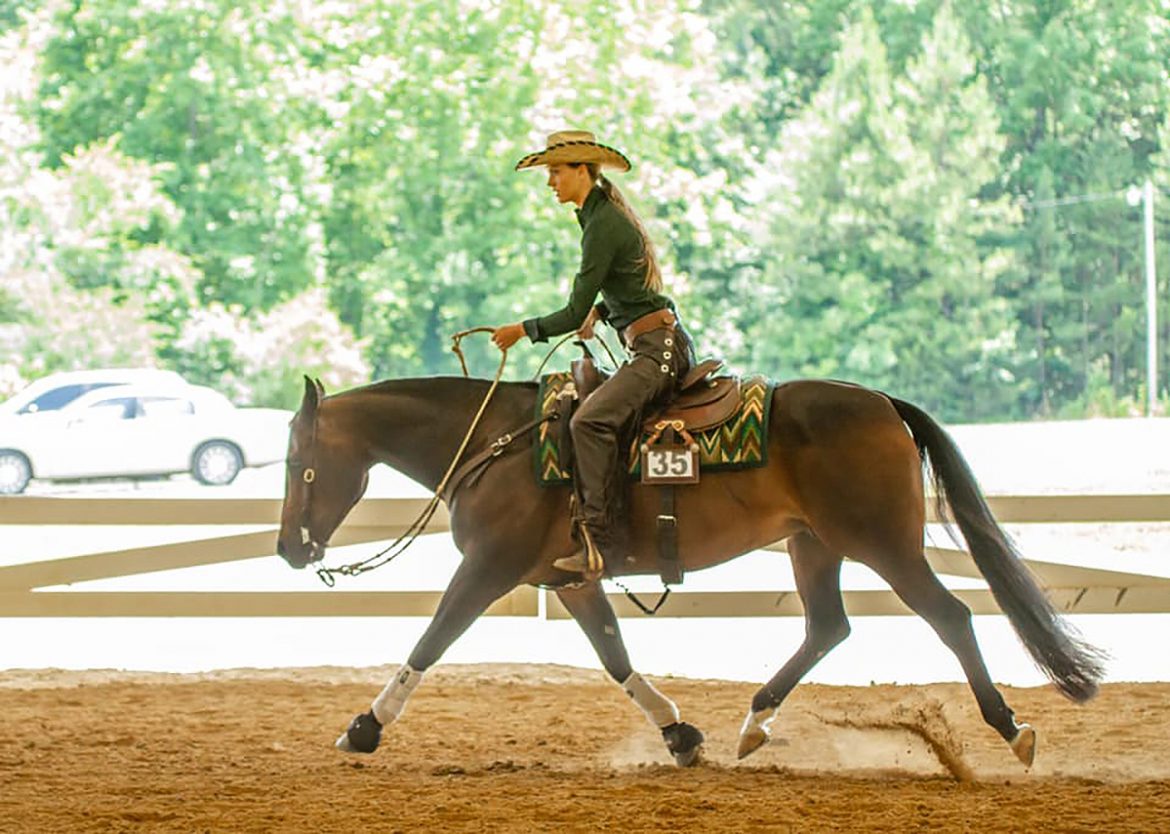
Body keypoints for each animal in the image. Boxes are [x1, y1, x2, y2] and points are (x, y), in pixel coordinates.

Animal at [276, 374, 1104, 772]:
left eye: (294, 461)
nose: (289, 548)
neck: (495, 442)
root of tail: (884, 404)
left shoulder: (488, 567)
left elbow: (429, 642)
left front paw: (362, 728)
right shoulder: (572, 579)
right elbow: (616, 658)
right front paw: (680, 736)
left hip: (884, 545)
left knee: (950, 617)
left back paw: (1011, 729)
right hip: (815, 545)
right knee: (827, 627)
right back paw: (753, 725)